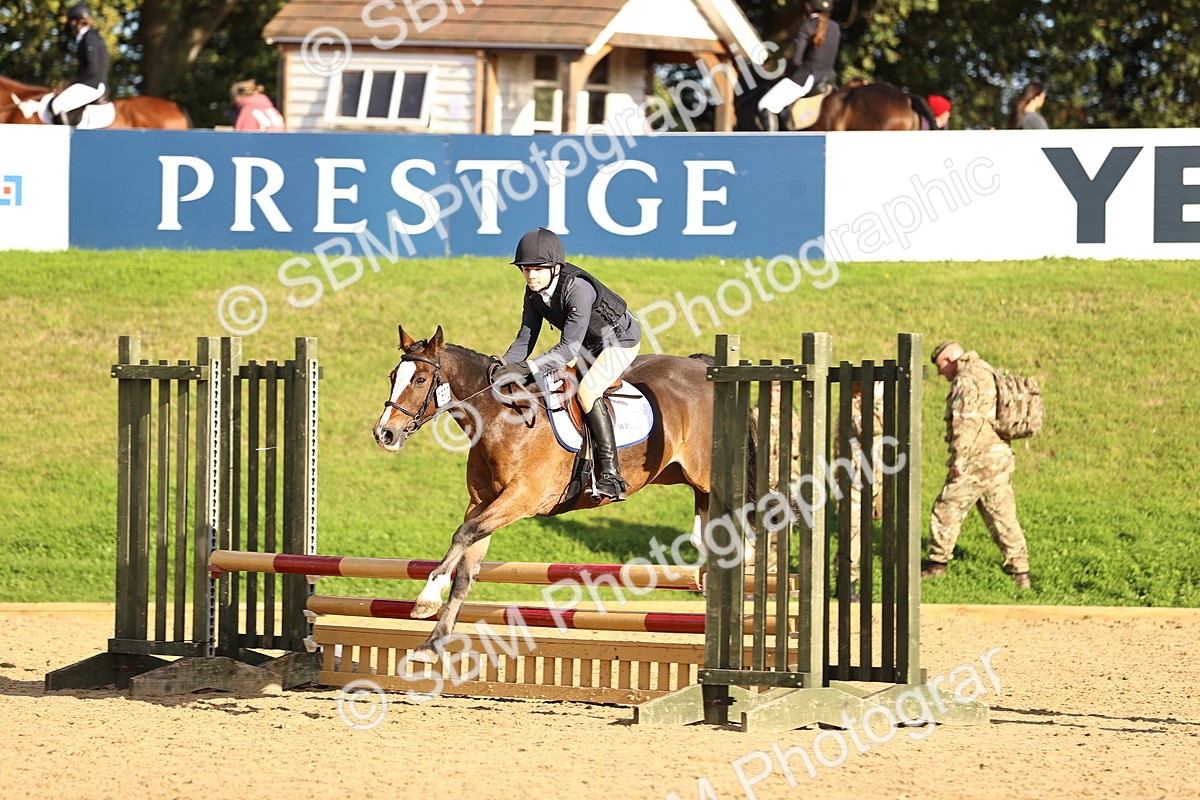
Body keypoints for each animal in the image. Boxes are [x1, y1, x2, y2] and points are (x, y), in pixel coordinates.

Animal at [372, 325, 735, 663]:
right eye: (392, 377)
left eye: (420, 379)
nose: (384, 434)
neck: (500, 419)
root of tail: (700, 366)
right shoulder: (481, 504)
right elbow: (465, 568)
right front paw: (431, 645)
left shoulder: (521, 499)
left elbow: (462, 534)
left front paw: (426, 598)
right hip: (681, 475)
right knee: (703, 523)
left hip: (705, 473)